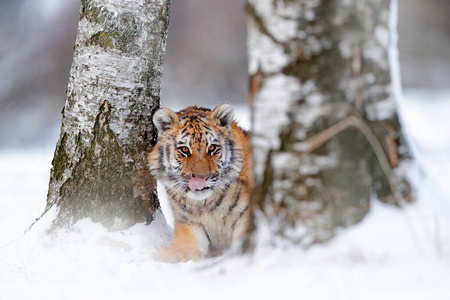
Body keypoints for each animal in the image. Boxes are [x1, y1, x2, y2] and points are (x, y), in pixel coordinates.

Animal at [149, 103, 251, 262]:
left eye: (212, 148)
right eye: (184, 149)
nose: (200, 179)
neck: (206, 205)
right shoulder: (187, 221)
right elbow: (190, 242)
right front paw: (177, 254)